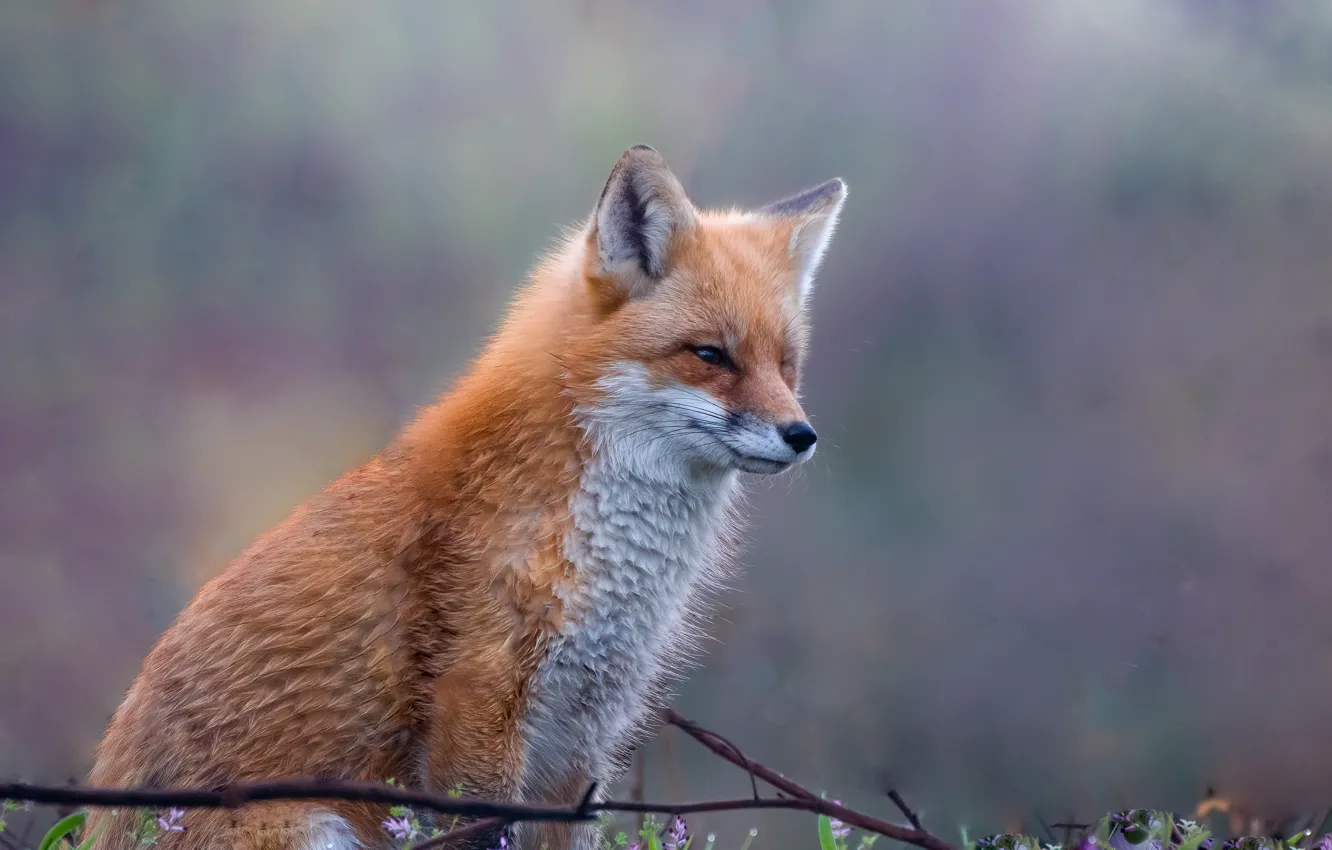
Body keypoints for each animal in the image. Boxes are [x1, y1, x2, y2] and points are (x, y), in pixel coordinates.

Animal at [83, 145, 847, 850]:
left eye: (787, 364)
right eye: (710, 355)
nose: (802, 435)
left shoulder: (580, 735)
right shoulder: (475, 706)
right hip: (311, 824)